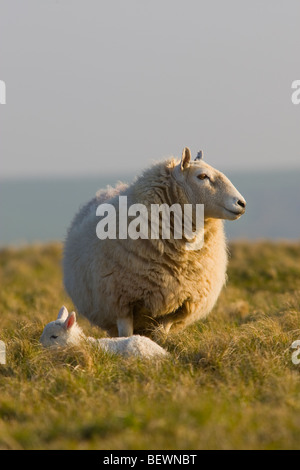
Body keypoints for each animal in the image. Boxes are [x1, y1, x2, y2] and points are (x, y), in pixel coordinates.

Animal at [62, 147, 246, 338]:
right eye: (202, 176)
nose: (241, 203)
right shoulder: (120, 301)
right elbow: (126, 335)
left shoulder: (176, 306)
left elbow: (161, 337)